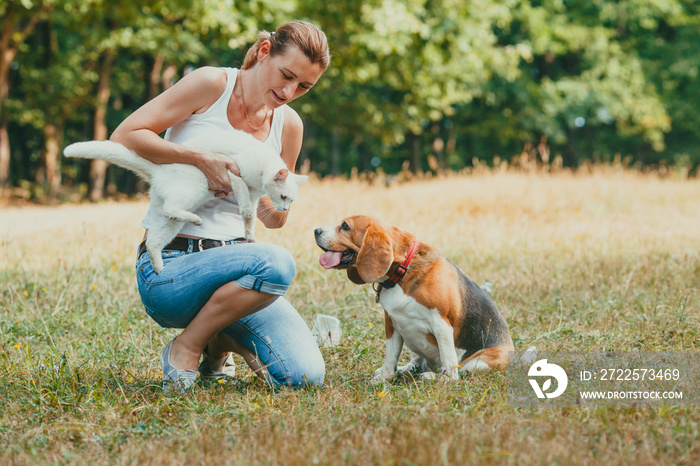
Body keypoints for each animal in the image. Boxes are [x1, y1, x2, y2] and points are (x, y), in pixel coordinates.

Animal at [62, 129, 306, 274]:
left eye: (291, 200)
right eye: (283, 197)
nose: (285, 208)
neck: (261, 169)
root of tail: (158, 170)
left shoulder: (255, 196)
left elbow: (250, 219)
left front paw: (251, 236)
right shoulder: (233, 170)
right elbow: (243, 197)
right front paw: (245, 212)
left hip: (170, 223)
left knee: (155, 239)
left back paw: (160, 268)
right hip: (195, 189)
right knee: (171, 210)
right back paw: (195, 220)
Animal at [316, 215, 516, 382]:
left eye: (345, 226)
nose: (316, 231)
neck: (401, 272)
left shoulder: (442, 325)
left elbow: (450, 367)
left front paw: (445, 380)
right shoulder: (392, 323)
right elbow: (391, 356)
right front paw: (385, 377)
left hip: (477, 362)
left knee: (456, 370)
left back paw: (431, 376)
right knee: (417, 363)